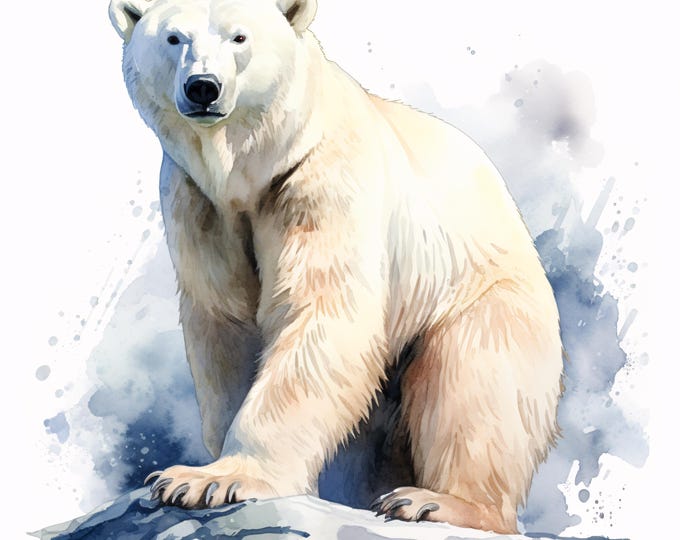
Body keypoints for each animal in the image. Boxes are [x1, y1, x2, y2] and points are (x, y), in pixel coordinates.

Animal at [109, 0, 563, 533]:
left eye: (239, 37)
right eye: (173, 38)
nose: (203, 87)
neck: (252, 168)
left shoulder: (319, 181)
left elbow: (323, 315)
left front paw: (211, 480)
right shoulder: (197, 202)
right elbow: (226, 328)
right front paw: (204, 470)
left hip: (481, 298)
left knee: (473, 388)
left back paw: (435, 501)